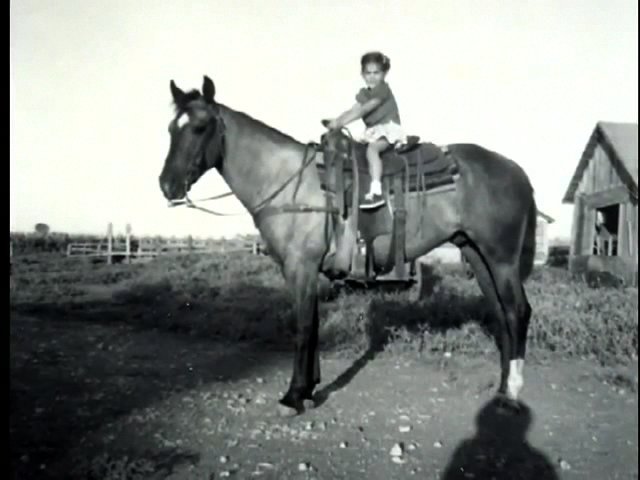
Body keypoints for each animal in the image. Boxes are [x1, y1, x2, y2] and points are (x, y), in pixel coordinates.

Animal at [158, 75, 538, 416]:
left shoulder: (300, 267)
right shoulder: (307, 271)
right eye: (171, 129)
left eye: (200, 127)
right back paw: (502, 390)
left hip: (501, 258)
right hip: (477, 254)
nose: (167, 185)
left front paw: (293, 397)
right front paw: (309, 389)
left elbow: (303, 327)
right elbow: (313, 325)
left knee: (517, 311)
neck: (290, 183)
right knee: (501, 314)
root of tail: (516, 170)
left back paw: (513, 393)